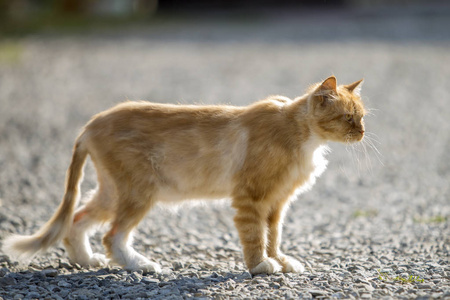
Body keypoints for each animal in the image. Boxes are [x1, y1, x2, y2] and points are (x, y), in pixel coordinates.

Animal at [1, 75, 366, 274]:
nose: (362, 133)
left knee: (77, 220)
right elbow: (254, 235)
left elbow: (273, 235)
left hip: (111, 191)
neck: (299, 134)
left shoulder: (277, 203)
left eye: (363, 117)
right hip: (139, 190)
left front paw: (279, 260)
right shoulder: (250, 198)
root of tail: (91, 123)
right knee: (112, 235)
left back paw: (87, 260)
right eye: (348, 118)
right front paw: (259, 266)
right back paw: (140, 265)